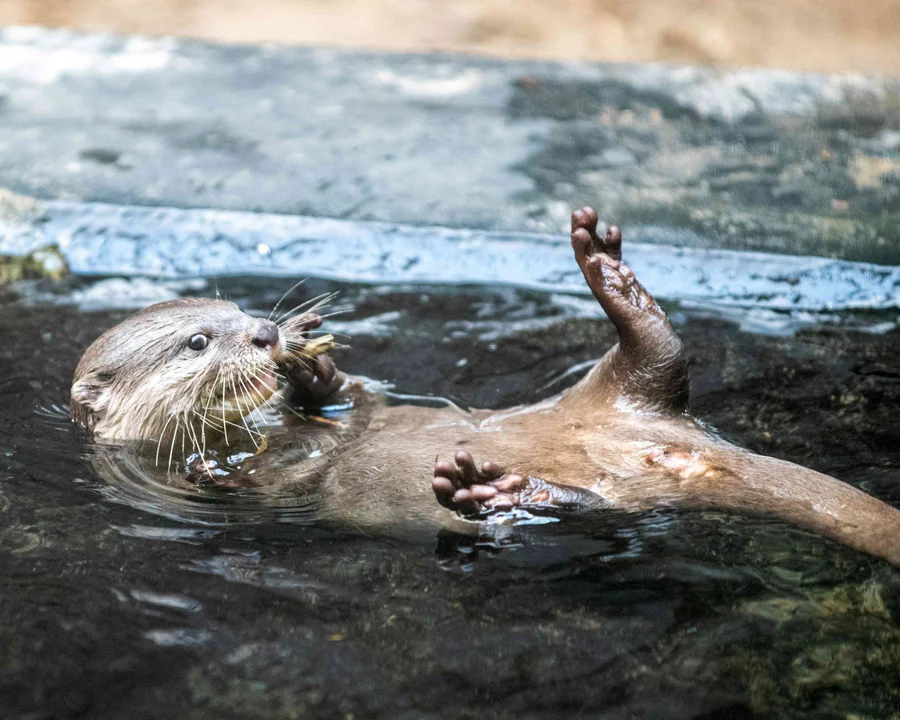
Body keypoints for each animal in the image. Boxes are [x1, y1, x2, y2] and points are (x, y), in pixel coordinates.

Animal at [70, 210, 900, 568]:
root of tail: (668, 447)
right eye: (199, 341)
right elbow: (267, 477)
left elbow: (356, 407)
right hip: (616, 470)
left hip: (612, 392)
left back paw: (610, 275)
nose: (268, 336)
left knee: (655, 355)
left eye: (240, 312)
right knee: (589, 507)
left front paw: (316, 375)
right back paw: (500, 492)